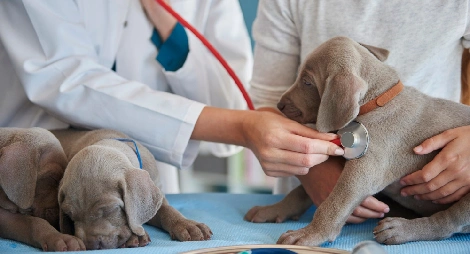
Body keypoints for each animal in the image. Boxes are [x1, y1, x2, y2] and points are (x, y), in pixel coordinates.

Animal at [51, 129, 211, 250]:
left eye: (110, 209)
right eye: (69, 215)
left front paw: (187, 225)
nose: (91, 244)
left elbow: (166, 210)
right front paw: (134, 237)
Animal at [244, 36, 470, 246]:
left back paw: (400, 229)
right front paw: (273, 210)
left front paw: (310, 234)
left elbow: (334, 203)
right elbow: (299, 192)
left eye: (307, 82)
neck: (377, 101)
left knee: (448, 223)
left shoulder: (363, 172)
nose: (279, 104)